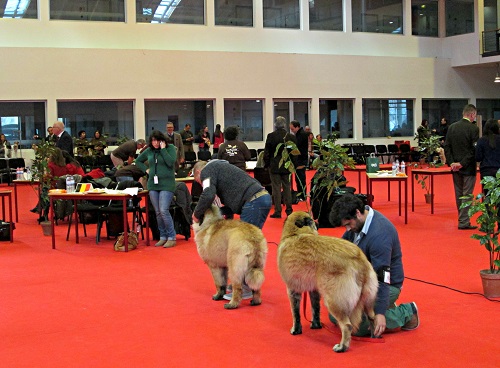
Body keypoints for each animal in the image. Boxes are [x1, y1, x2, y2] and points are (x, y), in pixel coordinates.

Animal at [278, 211, 378, 352]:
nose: (317, 222)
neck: (295, 234)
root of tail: (359, 260)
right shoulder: (314, 291)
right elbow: (315, 309)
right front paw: (316, 325)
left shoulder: (292, 290)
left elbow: (296, 314)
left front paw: (296, 330)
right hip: (368, 299)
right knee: (373, 318)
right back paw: (374, 338)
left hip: (334, 301)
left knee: (347, 325)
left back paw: (342, 346)